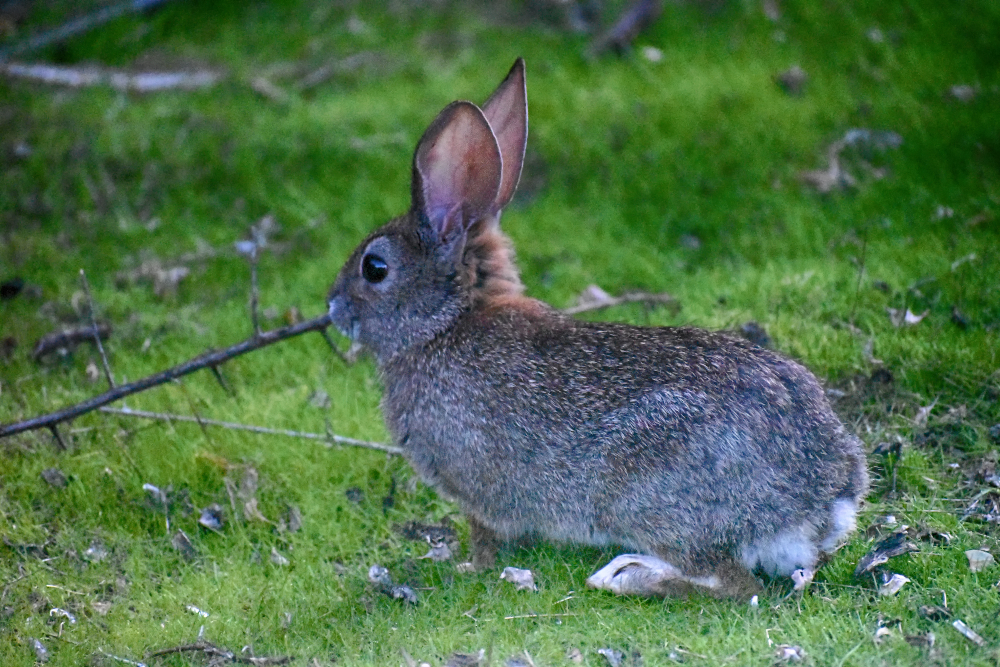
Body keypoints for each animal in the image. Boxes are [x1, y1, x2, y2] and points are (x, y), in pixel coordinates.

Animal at [326, 59, 869, 599]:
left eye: (374, 268)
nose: (332, 306)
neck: (446, 322)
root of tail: (822, 502)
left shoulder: (476, 486)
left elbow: (485, 538)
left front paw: (465, 567)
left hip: (645, 493)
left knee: (732, 582)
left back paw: (630, 576)